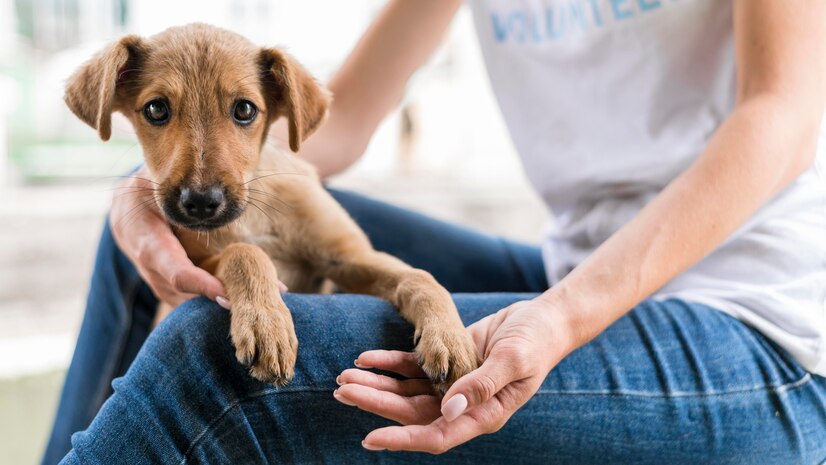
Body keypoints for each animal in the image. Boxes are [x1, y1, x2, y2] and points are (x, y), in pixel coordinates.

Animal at [66, 22, 482, 392]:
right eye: (156, 109)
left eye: (245, 110)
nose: (200, 203)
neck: (254, 214)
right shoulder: (196, 265)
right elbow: (244, 252)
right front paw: (267, 324)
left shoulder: (349, 258)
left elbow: (420, 278)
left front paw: (451, 337)